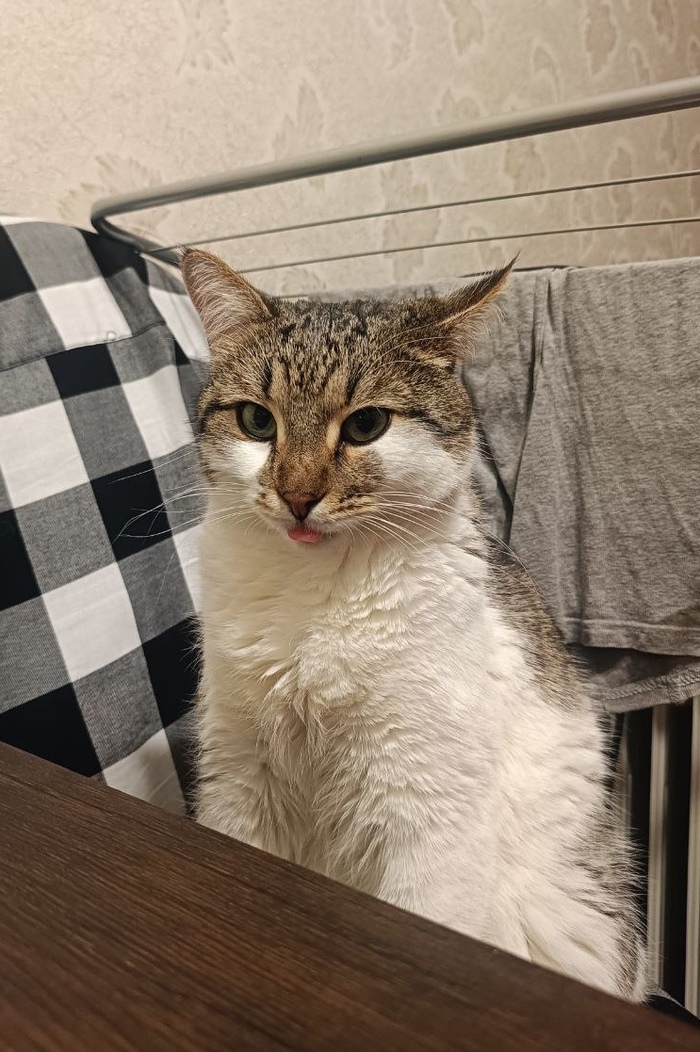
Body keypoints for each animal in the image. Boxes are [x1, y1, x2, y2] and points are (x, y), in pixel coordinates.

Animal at [181, 248, 647, 1002]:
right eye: (256, 420)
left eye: (366, 425)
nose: (297, 495)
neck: (313, 595)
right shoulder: (240, 771)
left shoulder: (426, 802)